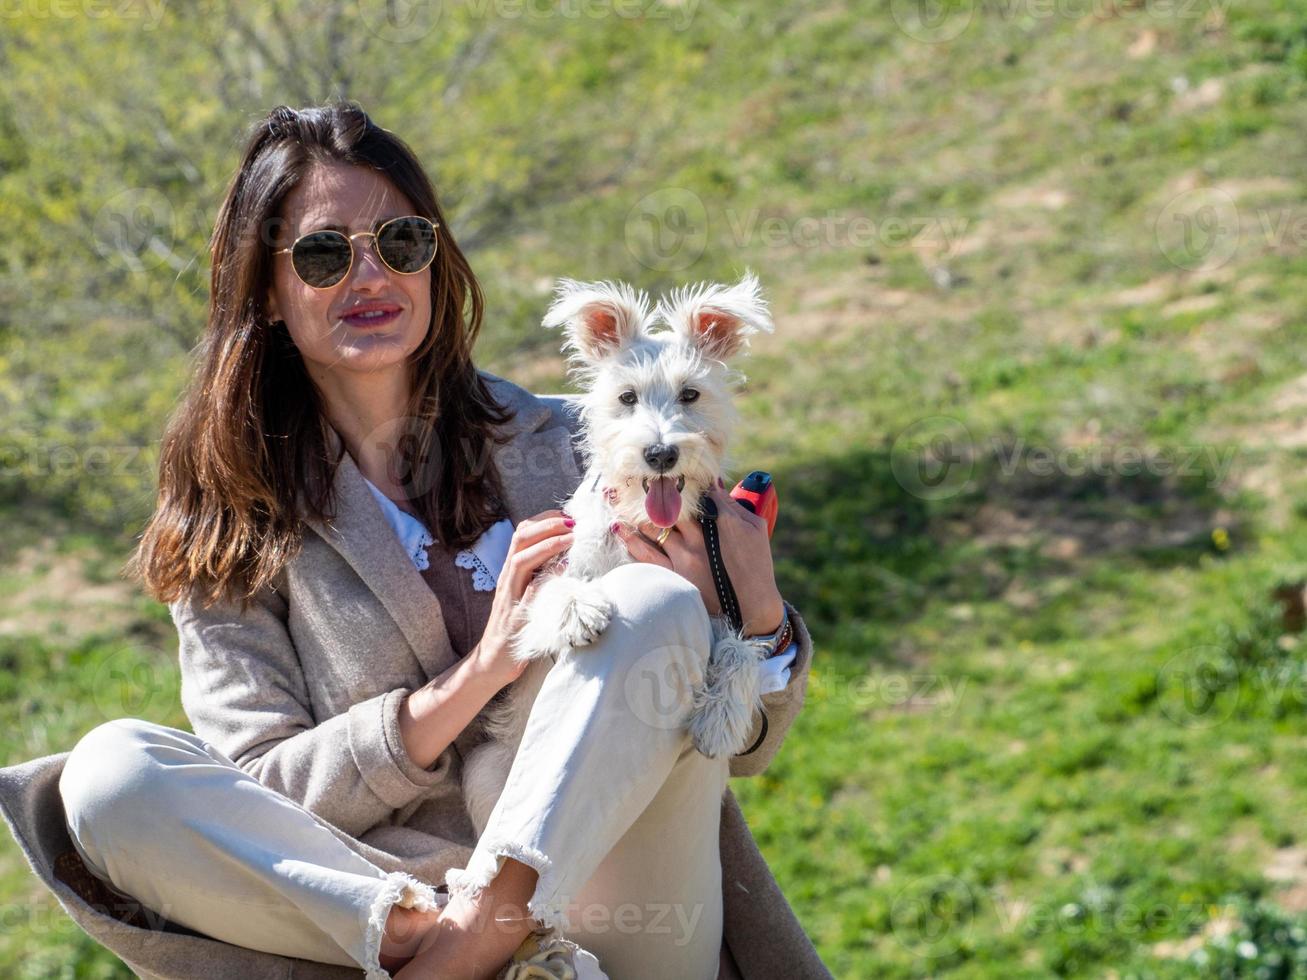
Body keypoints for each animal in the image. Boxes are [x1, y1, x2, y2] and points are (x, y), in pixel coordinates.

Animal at [465, 273, 773, 841]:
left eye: (690, 394)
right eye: (627, 397)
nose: (660, 453)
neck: (647, 522)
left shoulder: (717, 598)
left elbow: (742, 650)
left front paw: (721, 717)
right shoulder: (544, 583)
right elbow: (553, 590)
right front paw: (577, 611)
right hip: (483, 772)